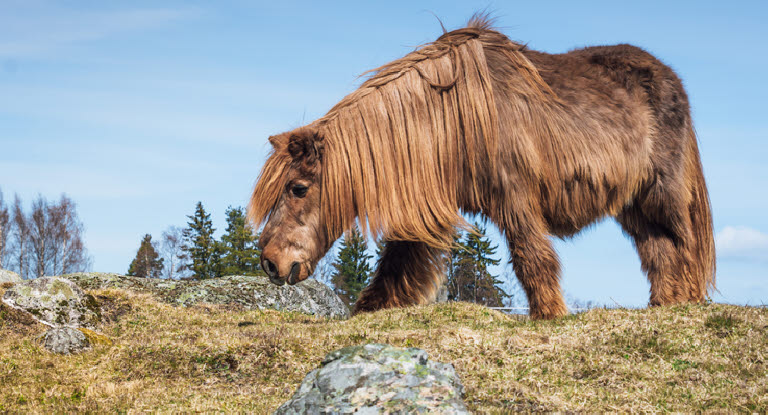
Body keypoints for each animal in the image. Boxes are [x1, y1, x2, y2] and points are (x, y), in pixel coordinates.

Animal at [249, 16, 716, 320]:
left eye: (298, 188)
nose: (270, 264)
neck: (449, 121)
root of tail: (670, 78)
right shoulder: (427, 206)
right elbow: (396, 266)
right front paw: (367, 312)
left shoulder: (515, 196)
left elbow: (532, 258)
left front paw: (550, 315)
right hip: (633, 206)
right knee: (658, 250)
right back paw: (664, 305)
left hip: (662, 194)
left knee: (682, 245)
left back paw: (687, 303)